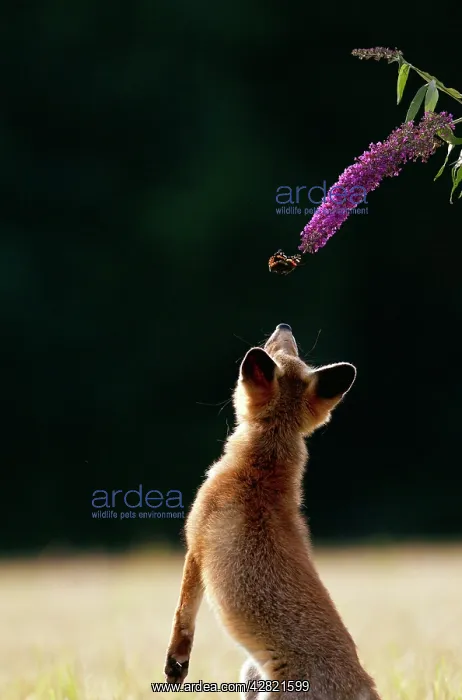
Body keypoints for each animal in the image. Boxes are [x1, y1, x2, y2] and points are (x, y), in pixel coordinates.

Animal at [164, 323, 381, 700]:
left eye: (275, 350)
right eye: (285, 350)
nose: (284, 327)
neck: (261, 468)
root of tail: (363, 683)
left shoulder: (196, 546)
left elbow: (183, 615)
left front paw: (176, 665)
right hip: (251, 677)